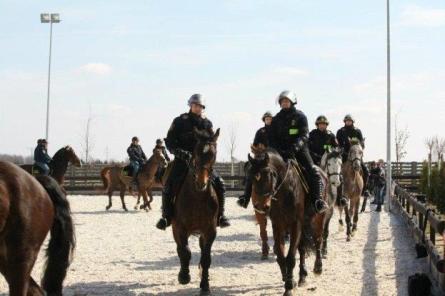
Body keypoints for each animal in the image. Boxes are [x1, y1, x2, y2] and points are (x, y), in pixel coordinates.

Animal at [173, 128, 221, 296]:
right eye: (196, 152)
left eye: (213, 154)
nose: (202, 182)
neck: (197, 196)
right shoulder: (180, 228)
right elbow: (185, 252)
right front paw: (184, 276)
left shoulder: (210, 230)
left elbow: (206, 258)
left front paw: (205, 286)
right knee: (180, 248)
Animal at [248, 151, 314, 294]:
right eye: (251, 177)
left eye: (267, 176)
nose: (260, 206)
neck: (285, 191)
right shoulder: (278, 224)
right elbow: (280, 253)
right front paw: (287, 279)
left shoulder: (296, 225)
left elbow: (291, 257)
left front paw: (289, 286)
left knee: (303, 248)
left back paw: (304, 276)